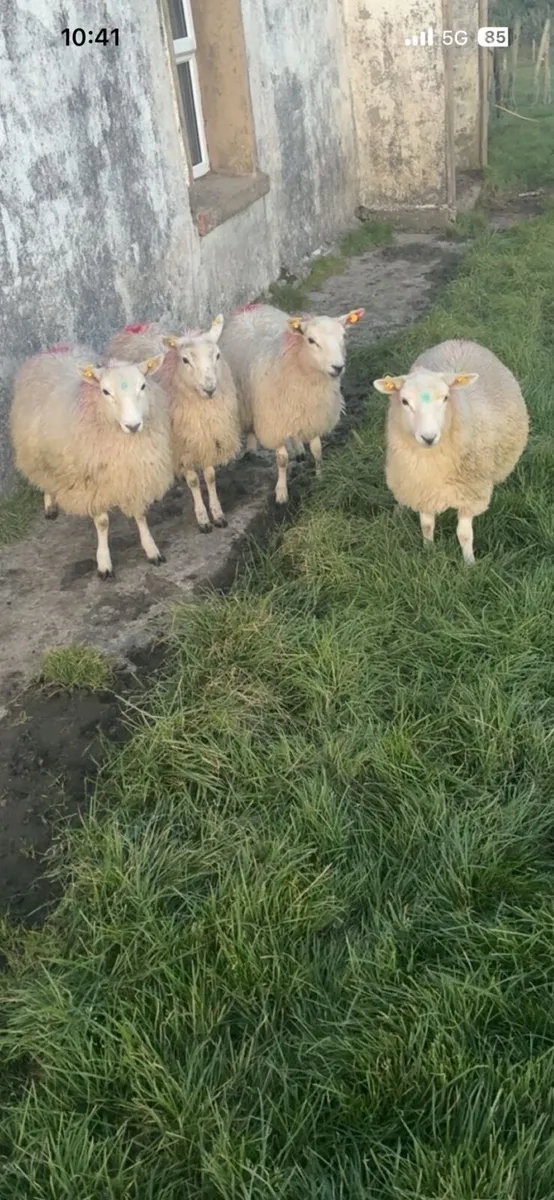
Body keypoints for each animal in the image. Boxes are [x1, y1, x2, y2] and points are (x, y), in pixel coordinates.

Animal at [10, 344, 172, 579]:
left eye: (143, 385)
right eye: (105, 392)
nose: (133, 425)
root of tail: (55, 348)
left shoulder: (135, 474)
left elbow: (140, 514)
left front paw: (151, 550)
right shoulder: (91, 482)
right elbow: (102, 522)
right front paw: (104, 562)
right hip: (35, 453)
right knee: (44, 477)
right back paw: (50, 505)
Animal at [107, 317, 240, 533]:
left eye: (218, 355)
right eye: (185, 360)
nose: (210, 388)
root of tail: (134, 326)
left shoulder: (207, 438)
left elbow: (210, 476)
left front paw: (217, 513)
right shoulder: (180, 446)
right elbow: (193, 481)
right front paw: (203, 518)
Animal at [219, 302, 365, 504]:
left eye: (344, 336)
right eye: (311, 340)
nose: (338, 367)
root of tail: (251, 306)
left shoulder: (313, 416)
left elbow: (317, 450)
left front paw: (320, 476)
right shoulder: (275, 422)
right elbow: (282, 459)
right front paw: (281, 492)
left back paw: (298, 449)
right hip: (245, 399)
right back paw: (251, 449)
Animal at [373, 338, 529, 564]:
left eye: (446, 398)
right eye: (405, 402)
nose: (428, 437)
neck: (432, 462)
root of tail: (459, 341)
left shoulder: (470, 492)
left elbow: (464, 534)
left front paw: (469, 563)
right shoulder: (422, 488)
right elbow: (426, 525)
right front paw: (429, 551)